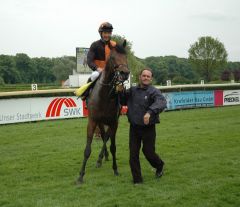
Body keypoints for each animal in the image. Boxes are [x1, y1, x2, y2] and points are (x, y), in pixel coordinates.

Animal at [76, 39, 129, 184]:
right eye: (112, 57)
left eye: (126, 56)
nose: (125, 73)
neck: (105, 95)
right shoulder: (93, 120)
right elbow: (87, 149)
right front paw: (81, 175)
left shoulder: (114, 122)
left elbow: (113, 146)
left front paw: (115, 169)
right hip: (99, 121)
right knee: (104, 135)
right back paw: (101, 159)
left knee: (106, 136)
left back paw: (102, 158)